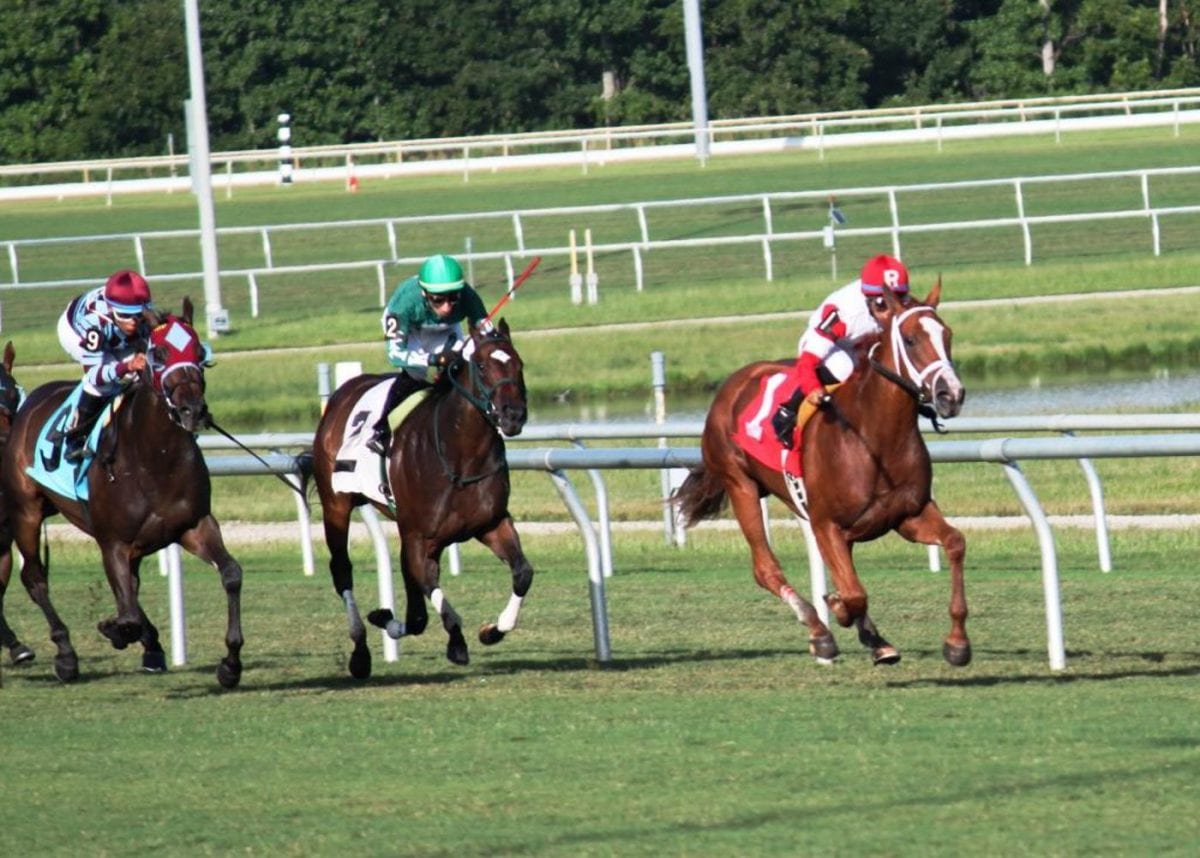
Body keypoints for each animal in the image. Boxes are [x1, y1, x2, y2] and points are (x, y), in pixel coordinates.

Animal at [0, 298, 243, 686]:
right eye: (158, 353)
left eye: (199, 352)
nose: (192, 410)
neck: (156, 457)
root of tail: (32, 402)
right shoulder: (113, 541)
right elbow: (125, 613)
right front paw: (116, 630)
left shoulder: (194, 525)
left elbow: (231, 574)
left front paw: (230, 663)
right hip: (26, 511)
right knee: (35, 578)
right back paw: (65, 654)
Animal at [304, 319, 535, 681]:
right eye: (483, 367)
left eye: (519, 364)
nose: (513, 416)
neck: (460, 457)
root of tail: (345, 390)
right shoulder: (419, 537)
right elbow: (430, 591)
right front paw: (456, 643)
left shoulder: (490, 524)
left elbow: (522, 573)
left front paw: (493, 630)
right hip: (336, 505)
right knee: (341, 570)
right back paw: (360, 652)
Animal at [676, 285, 974, 667]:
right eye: (909, 340)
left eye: (947, 335)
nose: (951, 394)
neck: (875, 437)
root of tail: (734, 383)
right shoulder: (827, 523)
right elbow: (854, 593)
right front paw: (837, 608)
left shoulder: (906, 514)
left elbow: (955, 543)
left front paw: (957, 643)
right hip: (740, 485)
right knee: (765, 568)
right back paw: (819, 631)